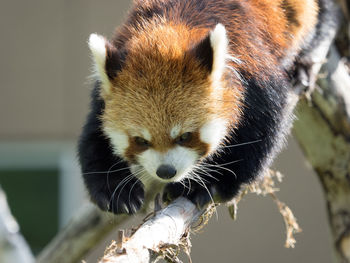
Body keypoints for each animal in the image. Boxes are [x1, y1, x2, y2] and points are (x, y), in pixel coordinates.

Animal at [78, 0, 330, 214]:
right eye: (140, 140)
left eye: (185, 136)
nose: (165, 171)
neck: (168, 28)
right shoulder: (105, 93)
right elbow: (94, 135)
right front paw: (115, 189)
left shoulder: (254, 71)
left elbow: (262, 130)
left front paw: (208, 183)